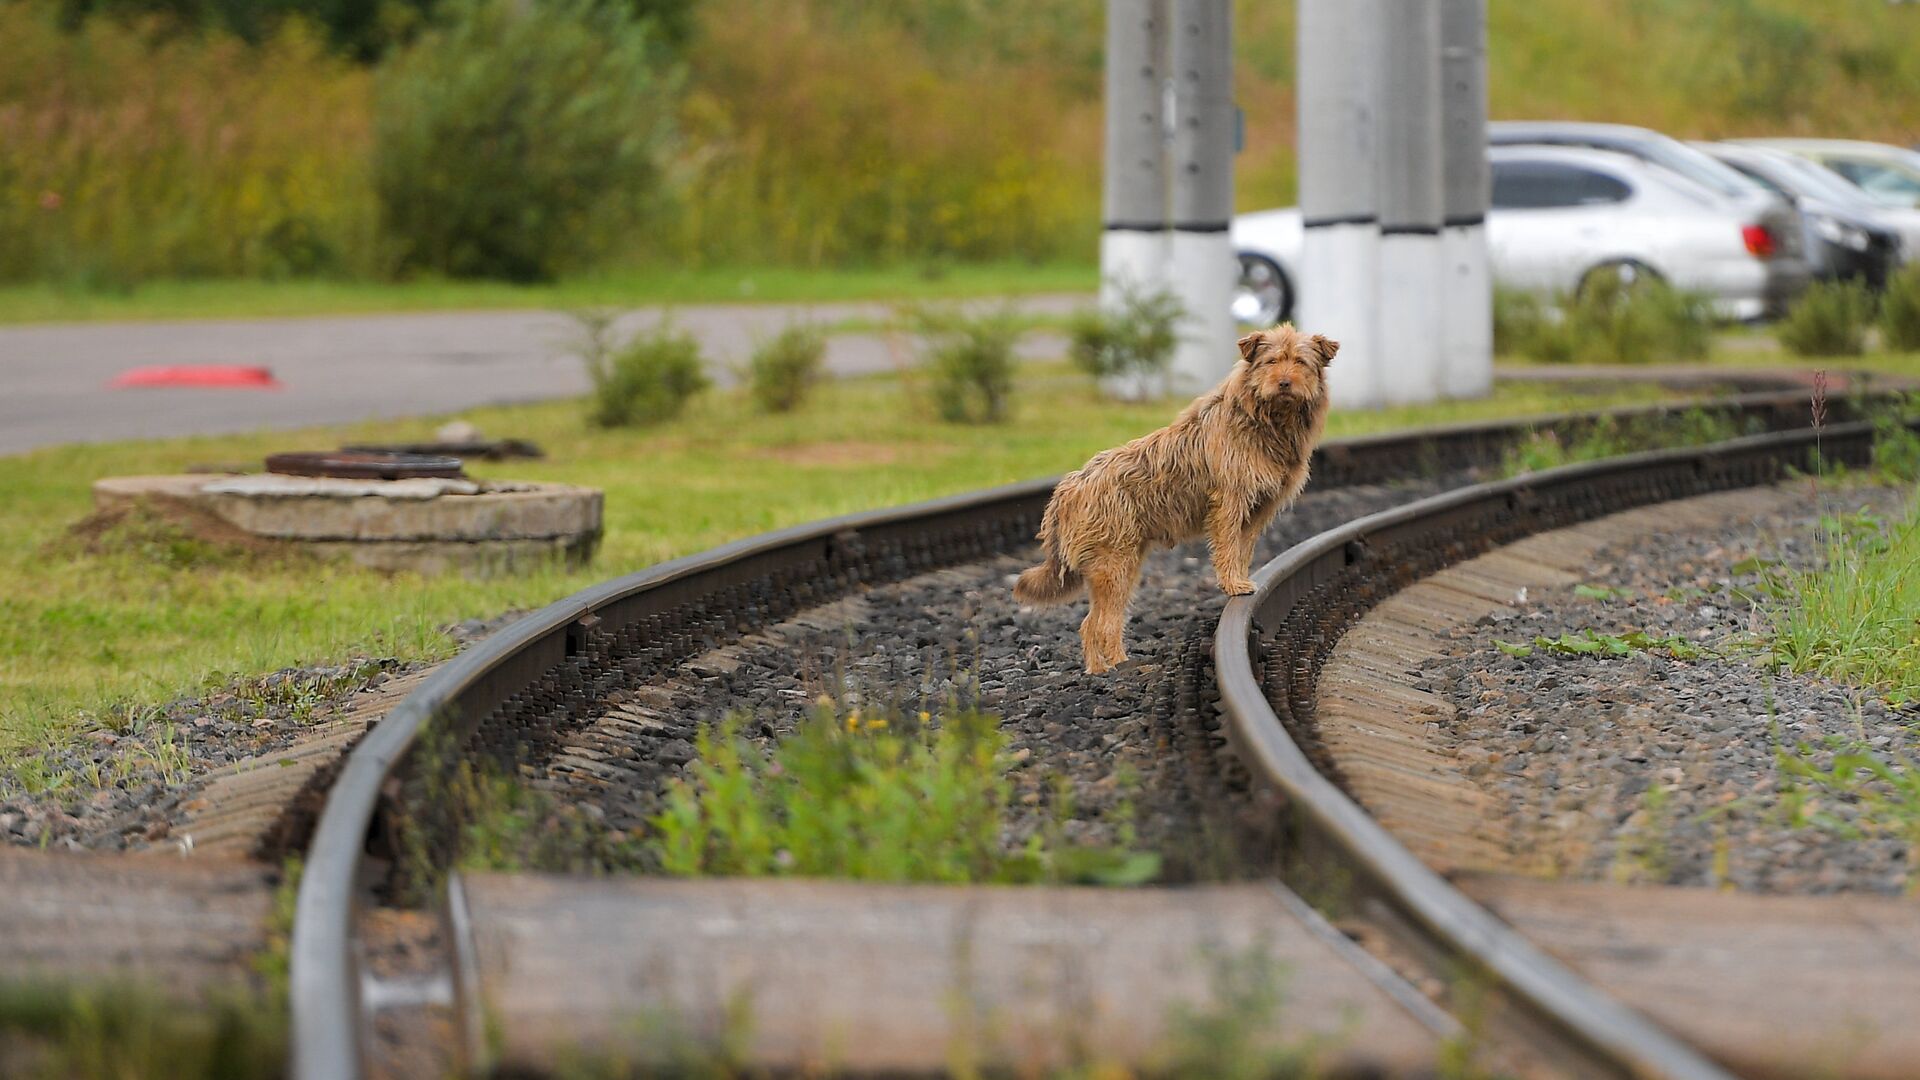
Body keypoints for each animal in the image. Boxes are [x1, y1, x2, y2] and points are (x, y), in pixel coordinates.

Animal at [1021, 322, 1336, 668]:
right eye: (1271, 361)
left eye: (1300, 362)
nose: (1284, 383)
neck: (1263, 419)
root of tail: (1068, 487)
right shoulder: (1230, 502)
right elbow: (1228, 547)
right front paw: (1233, 584)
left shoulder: (1257, 511)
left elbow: (1243, 550)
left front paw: (1241, 579)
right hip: (1114, 566)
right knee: (1102, 624)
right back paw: (1118, 666)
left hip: (1121, 565)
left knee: (1092, 624)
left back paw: (1101, 669)